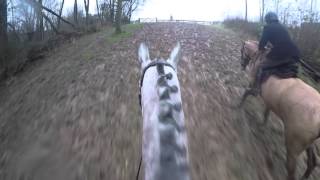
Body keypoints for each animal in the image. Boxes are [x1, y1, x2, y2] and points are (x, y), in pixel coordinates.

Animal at [240, 40, 320, 179]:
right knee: (312, 163)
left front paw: (238, 106)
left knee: (292, 170)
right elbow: (266, 112)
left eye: (241, 50)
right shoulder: (269, 99)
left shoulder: (254, 88)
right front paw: (262, 125)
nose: (242, 65)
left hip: (293, 146)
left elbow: (246, 93)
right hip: (310, 144)